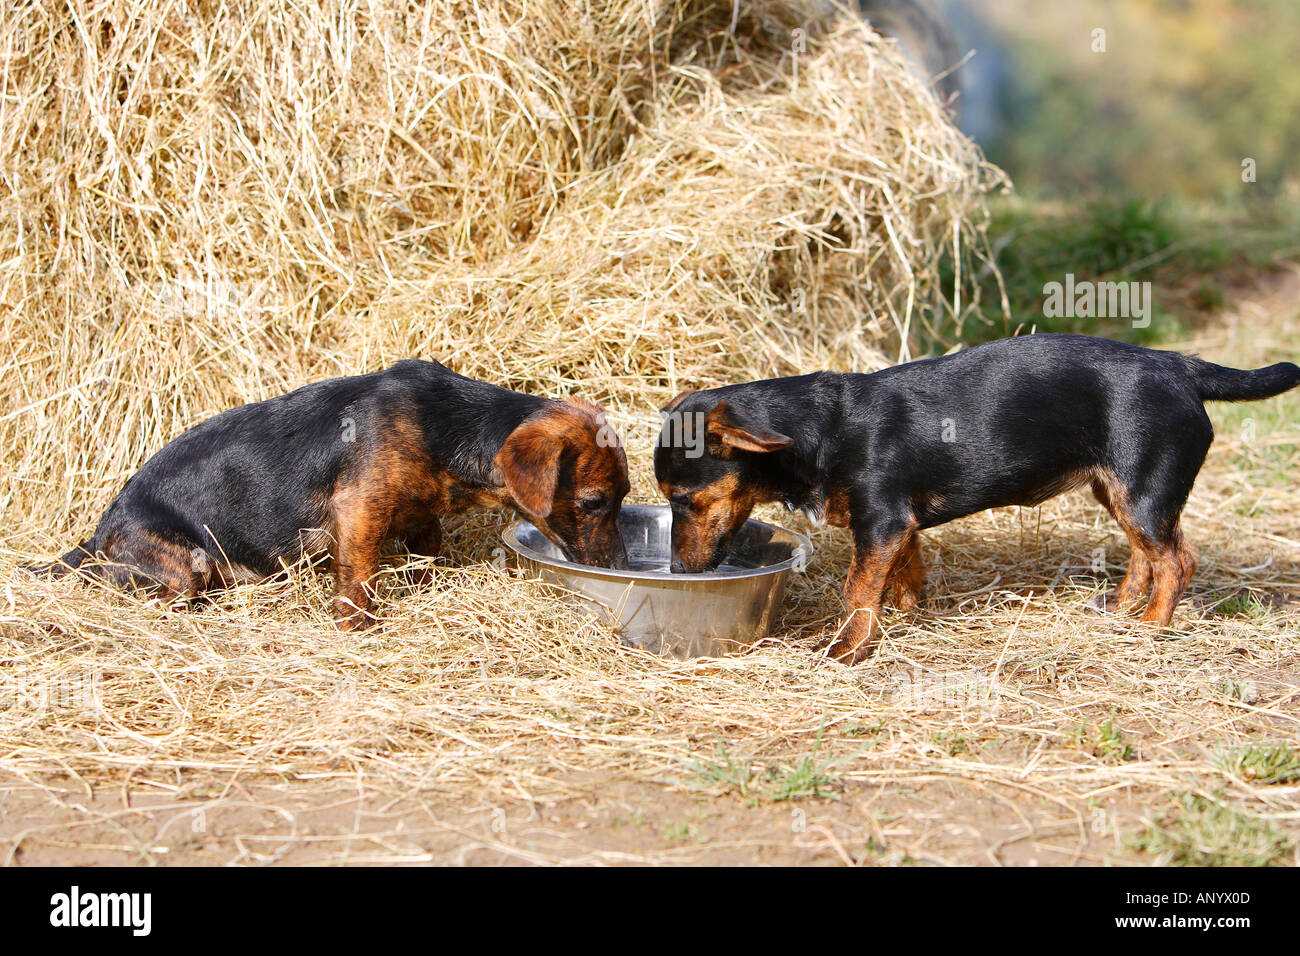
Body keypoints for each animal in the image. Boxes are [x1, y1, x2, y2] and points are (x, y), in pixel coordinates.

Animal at [30, 358, 629, 629]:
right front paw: (356, 627)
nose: (623, 567)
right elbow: (358, 577)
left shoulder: (420, 514)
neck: (448, 423)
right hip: (184, 566)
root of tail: (97, 535)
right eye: (594, 502)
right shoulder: (360, 509)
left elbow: (428, 554)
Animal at [660, 335, 1300, 665]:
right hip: (1117, 489)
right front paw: (908, 616)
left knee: (1176, 560)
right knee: (1147, 554)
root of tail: (1180, 366)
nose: (677, 571)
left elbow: (858, 589)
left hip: (1142, 488)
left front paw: (847, 647)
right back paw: (1121, 609)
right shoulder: (899, 527)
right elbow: (904, 575)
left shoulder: (882, 521)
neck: (822, 427)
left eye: (685, 500)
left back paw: (1151, 629)